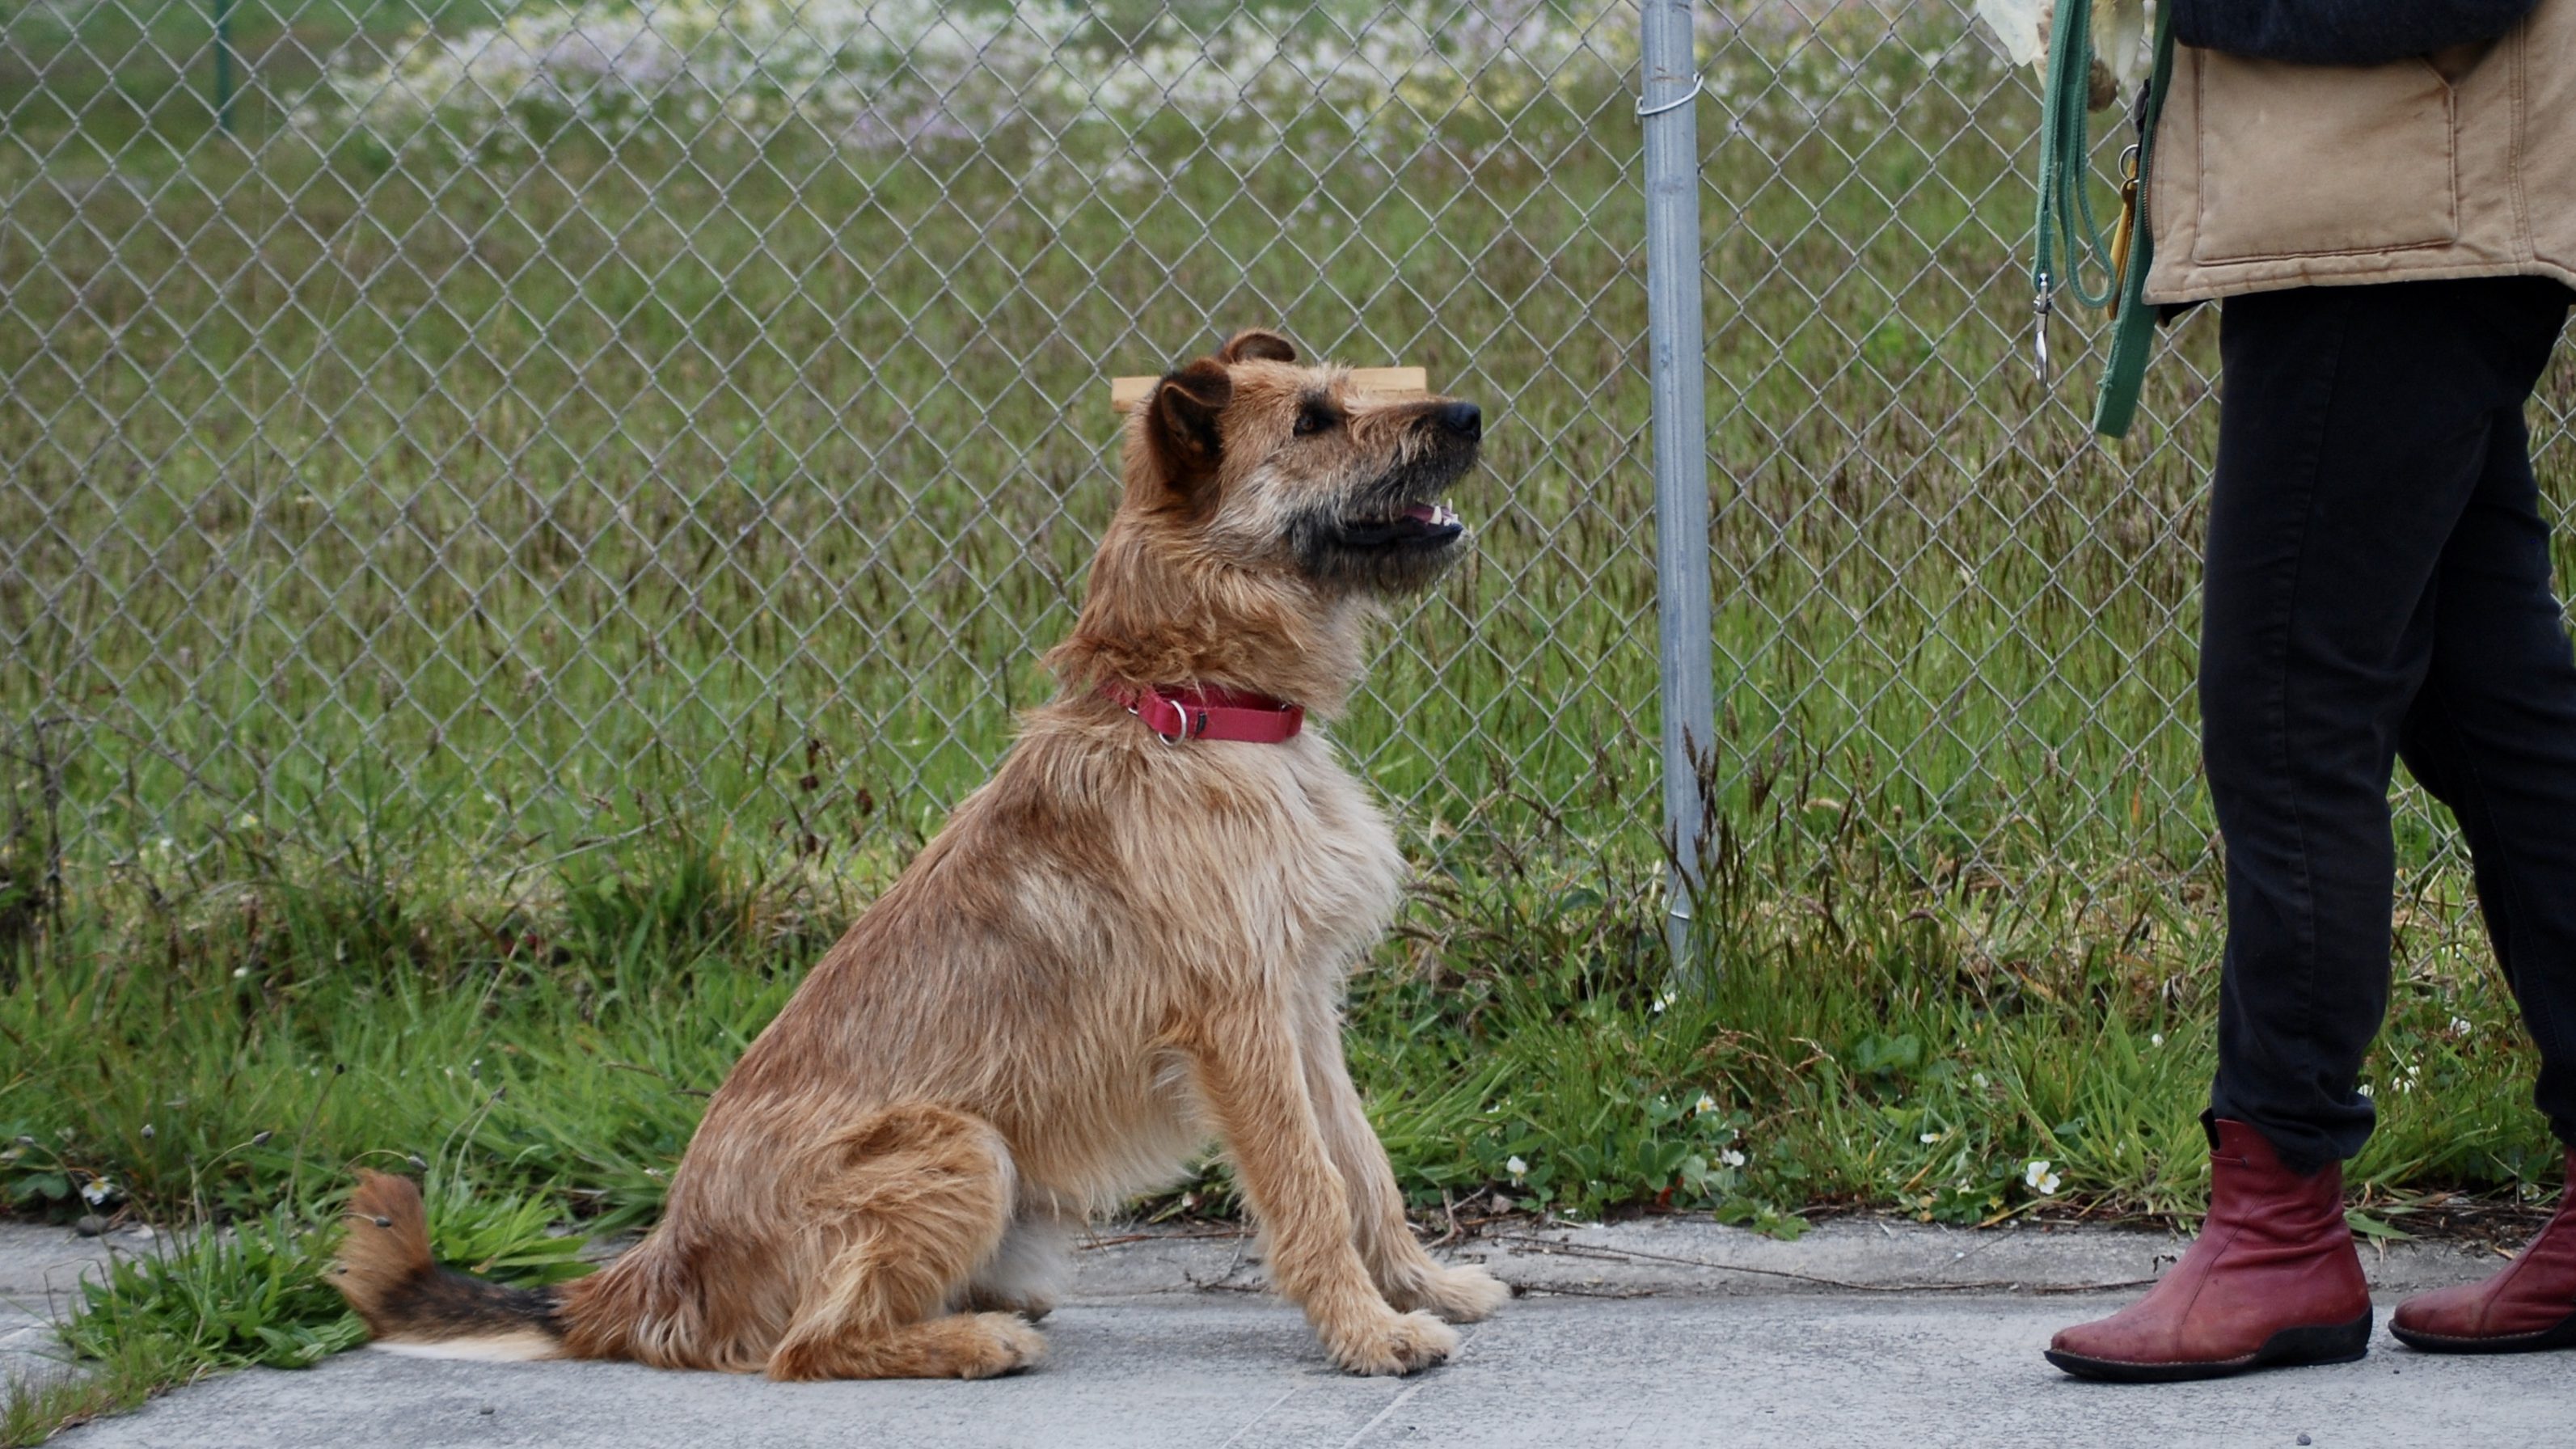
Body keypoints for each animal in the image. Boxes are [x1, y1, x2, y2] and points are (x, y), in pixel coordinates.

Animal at [340, 327, 1504, 1371]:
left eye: (1346, 395)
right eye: (1313, 422)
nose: (1467, 414)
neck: (1197, 702)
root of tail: (653, 1274)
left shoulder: (1300, 1006)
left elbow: (1361, 1163)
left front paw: (1422, 1284)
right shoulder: (1238, 1022)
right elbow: (1310, 1187)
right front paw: (1369, 1333)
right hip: (957, 1143)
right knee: (806, 1349)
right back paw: (975, 1341)